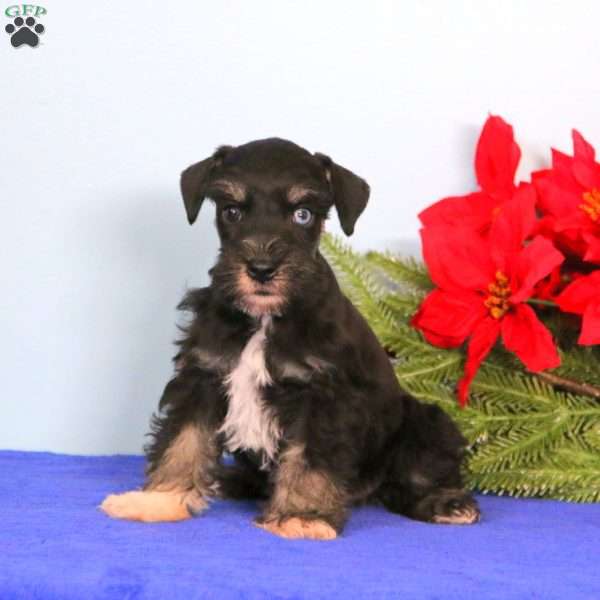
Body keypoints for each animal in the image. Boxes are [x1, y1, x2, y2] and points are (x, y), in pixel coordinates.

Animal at [101, 139, 480, 540]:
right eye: (231, 211)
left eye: (303, 214)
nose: (261, 269)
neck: (264, 318)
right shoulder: (203, 376)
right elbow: (183, 439)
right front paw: (159, 500)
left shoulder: (321, 395)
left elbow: (310, 458)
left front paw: (302, 516)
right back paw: (227, 480)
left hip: (426, 422)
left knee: (411, 479)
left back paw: (447, 504)